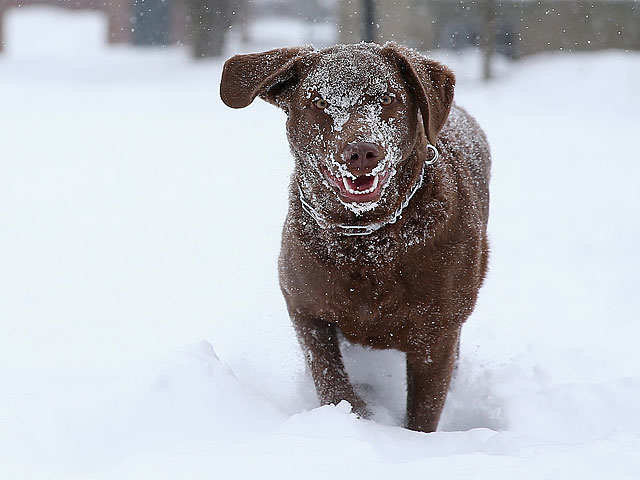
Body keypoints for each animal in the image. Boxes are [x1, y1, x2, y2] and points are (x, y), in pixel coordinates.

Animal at [220, 42, 490, 432]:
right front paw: (355, 417)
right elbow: (329, 375)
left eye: (389, 98)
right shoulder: (304, 305)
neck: (367, 241)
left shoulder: (437, 331)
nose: (362, 151)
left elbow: (424, 411)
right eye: (318, 102)